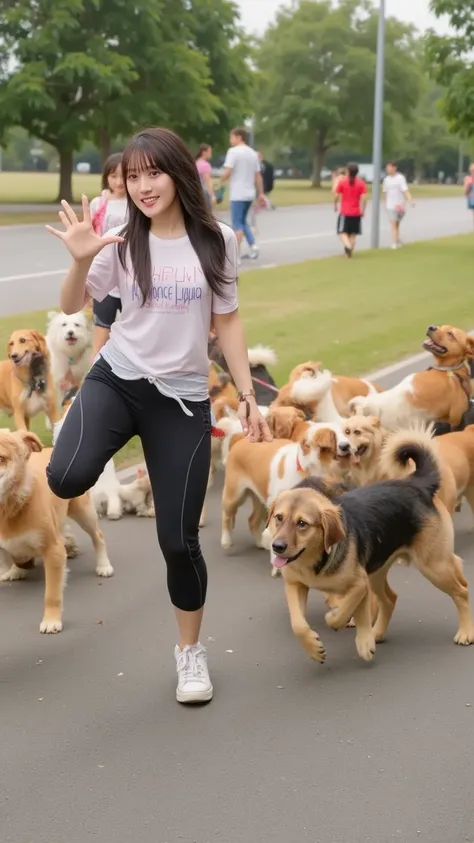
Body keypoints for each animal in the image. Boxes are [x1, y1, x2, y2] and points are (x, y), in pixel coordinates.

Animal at [0, 428, 114, 632]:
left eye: (1, 458)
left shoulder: (52, 550)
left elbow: (52, 594)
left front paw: (51, 620)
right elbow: (9, 554)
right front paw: (15, 569)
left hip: (83, 511)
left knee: (98, 536)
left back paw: (103, 565)